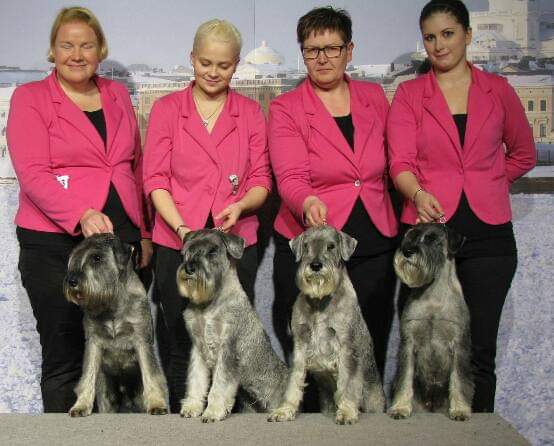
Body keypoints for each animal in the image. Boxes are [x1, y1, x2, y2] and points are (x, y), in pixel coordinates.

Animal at [63, 233, 168, 416]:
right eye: (75, 257)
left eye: (97, 258)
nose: (72, 281)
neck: (112, 303)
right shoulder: (93, 342)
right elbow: (87, 376)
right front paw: (81, 405)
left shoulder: (141, 341)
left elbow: (151, 375)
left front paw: (156, 404)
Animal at [176, 229, 288, 422]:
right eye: (188, 250)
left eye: (212, 251)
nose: (189, 268)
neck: (209, 304)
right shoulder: (198, 349)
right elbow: (196, 380)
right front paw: (191, 407)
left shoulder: (228, 350)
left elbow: (218, 387)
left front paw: (212, 412)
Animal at [268, 226, 385, 425]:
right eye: (306, 246)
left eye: (331, 246)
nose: (315, 265)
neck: (319, 301)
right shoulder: (300, 346)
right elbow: (294, 382)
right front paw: (284, 410)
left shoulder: (346, 347)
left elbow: (347, 383)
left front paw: (346, 413)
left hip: (373, 399)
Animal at [389, 223, 473, 421]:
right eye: (410, 237)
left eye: (432, 239)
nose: (407, 251)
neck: (433, 297)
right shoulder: (408, 342)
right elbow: (405, 378)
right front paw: (400, 408)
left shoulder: (459, 344)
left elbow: (459, 380)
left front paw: (460, 410)